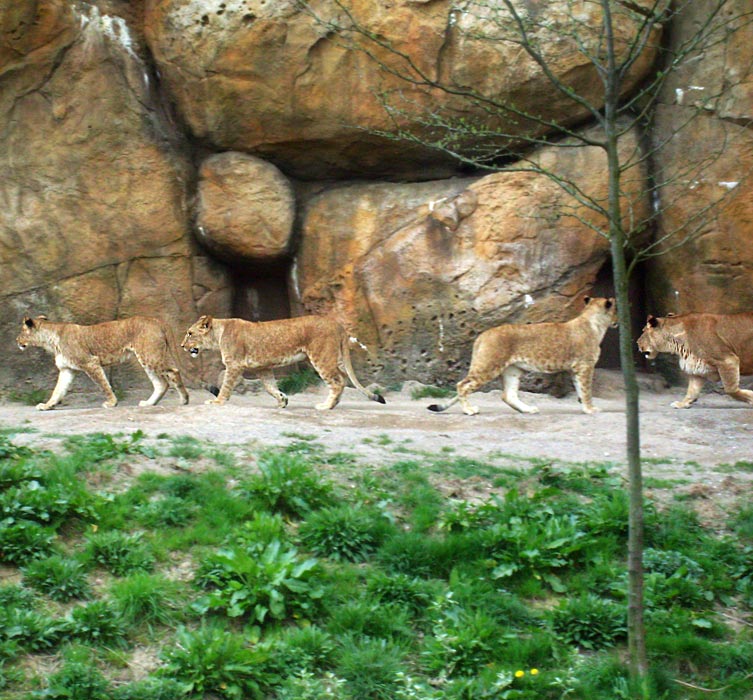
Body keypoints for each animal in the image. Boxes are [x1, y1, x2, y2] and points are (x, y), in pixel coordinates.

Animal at [16, 318, 189, 410]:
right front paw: (47, 406)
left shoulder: (90, 363)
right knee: (161, 383)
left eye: (22, 332)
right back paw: (149, 403)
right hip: (147, 358)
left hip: (150, 355)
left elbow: (104, 385)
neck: (51, 341)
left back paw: (184, 400)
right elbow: (57, 391)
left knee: (173, 372)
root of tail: (157, 320)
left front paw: (112, 403)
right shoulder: (67, 370)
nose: (16, 340)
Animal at [179, 314, 384, 410]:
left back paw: (326, 406)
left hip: (321, 357)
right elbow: (270, 387)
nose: (181, 346)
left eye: (190, 333)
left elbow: (226, 386)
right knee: (342, 378)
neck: (218, 334)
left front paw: (217, 401)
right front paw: (283, 400)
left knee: (338, 381)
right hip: (331, 357)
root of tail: (338, 324)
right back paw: (333, 404)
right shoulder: (263, 368)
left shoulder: (234, 365)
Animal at [426, 296, 612, 416]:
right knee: (461, 385)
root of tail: (483, 335)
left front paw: (584, 407)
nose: (617, 321)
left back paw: (528, 410)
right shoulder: (585, 365)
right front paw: (591, 410)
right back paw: (469, 410)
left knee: (508, 395)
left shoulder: (576, 368)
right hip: (488, 366)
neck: (593, 323)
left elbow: (580, 390)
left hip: (512, 370)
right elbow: (586, 390)